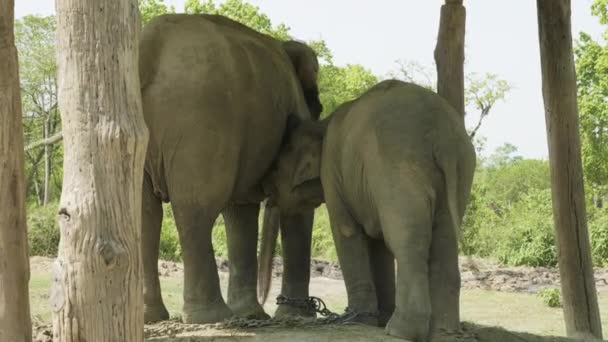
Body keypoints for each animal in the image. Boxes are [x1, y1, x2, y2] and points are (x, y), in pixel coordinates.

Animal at [140, 13, 326, 324]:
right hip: (202, 122)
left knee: (144, 214)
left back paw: (152, 317)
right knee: (196, 208)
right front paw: (295, 316)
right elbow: (296, 207)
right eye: (319, 108)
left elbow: (241, 210)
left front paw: (252, 314)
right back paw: (210, 318)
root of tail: (147, 49)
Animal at [258, 79, 478, 340]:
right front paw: (378, 318)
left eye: (275, 168)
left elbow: (346, 232)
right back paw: (444, 332)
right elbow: (379, 244)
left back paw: (400, 331)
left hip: (397, 168)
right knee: (444, 241)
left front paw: (359, 320)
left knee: (407, 242)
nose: (268, 303)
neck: (321, 124)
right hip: (460, 169)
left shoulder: (333, 173)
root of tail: (443, 134)